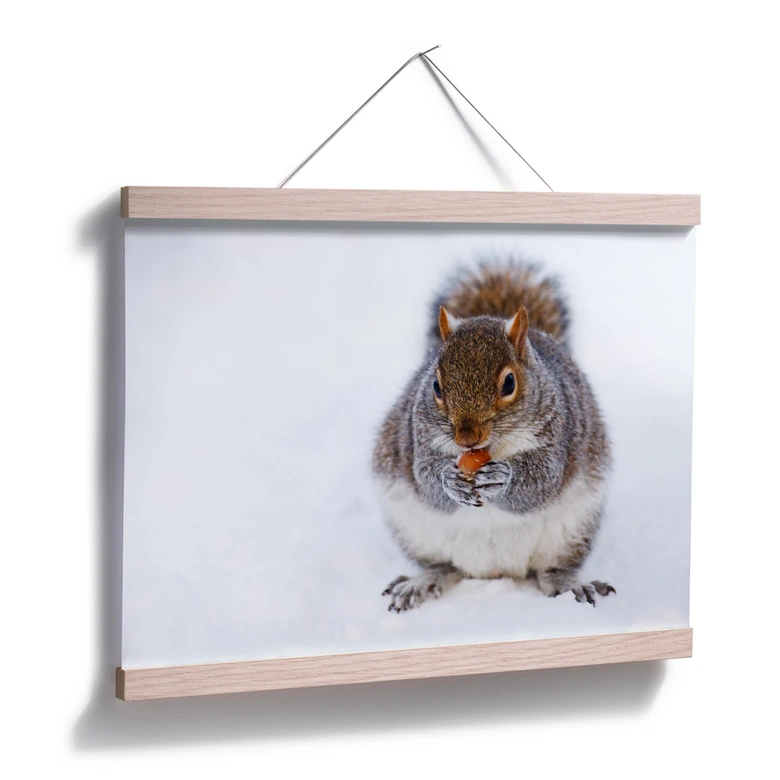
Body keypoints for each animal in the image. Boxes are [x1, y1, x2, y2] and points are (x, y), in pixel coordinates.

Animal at [373, 260, 615, 612]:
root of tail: (495, 571)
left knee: (552, 569)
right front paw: (449, 480)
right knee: (444, 566)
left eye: (509, 383)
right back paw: (422, 581)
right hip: (415, 531)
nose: (466, 437)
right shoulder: (418, 436)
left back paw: (569, 584)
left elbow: (541, 482)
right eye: (435, 386)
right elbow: (426, 479)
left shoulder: (558, 434)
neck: (490, 448)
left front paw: (503, 478)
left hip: (572, 531)